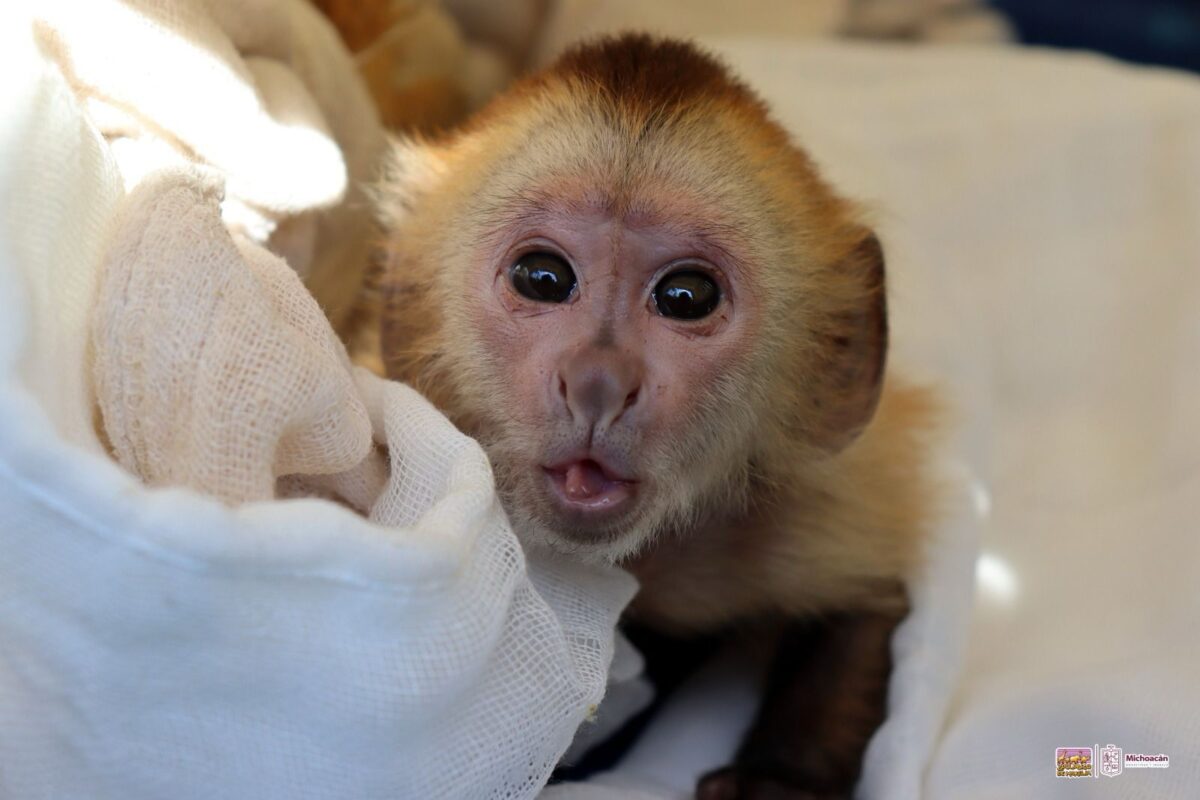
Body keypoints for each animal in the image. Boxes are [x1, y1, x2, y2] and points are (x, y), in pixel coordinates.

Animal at [364, 32, 936, 800]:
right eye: (542, 278)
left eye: (686, 296)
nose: (599, 383)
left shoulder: (799, 504)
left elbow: (870, 606)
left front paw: (777, 778)